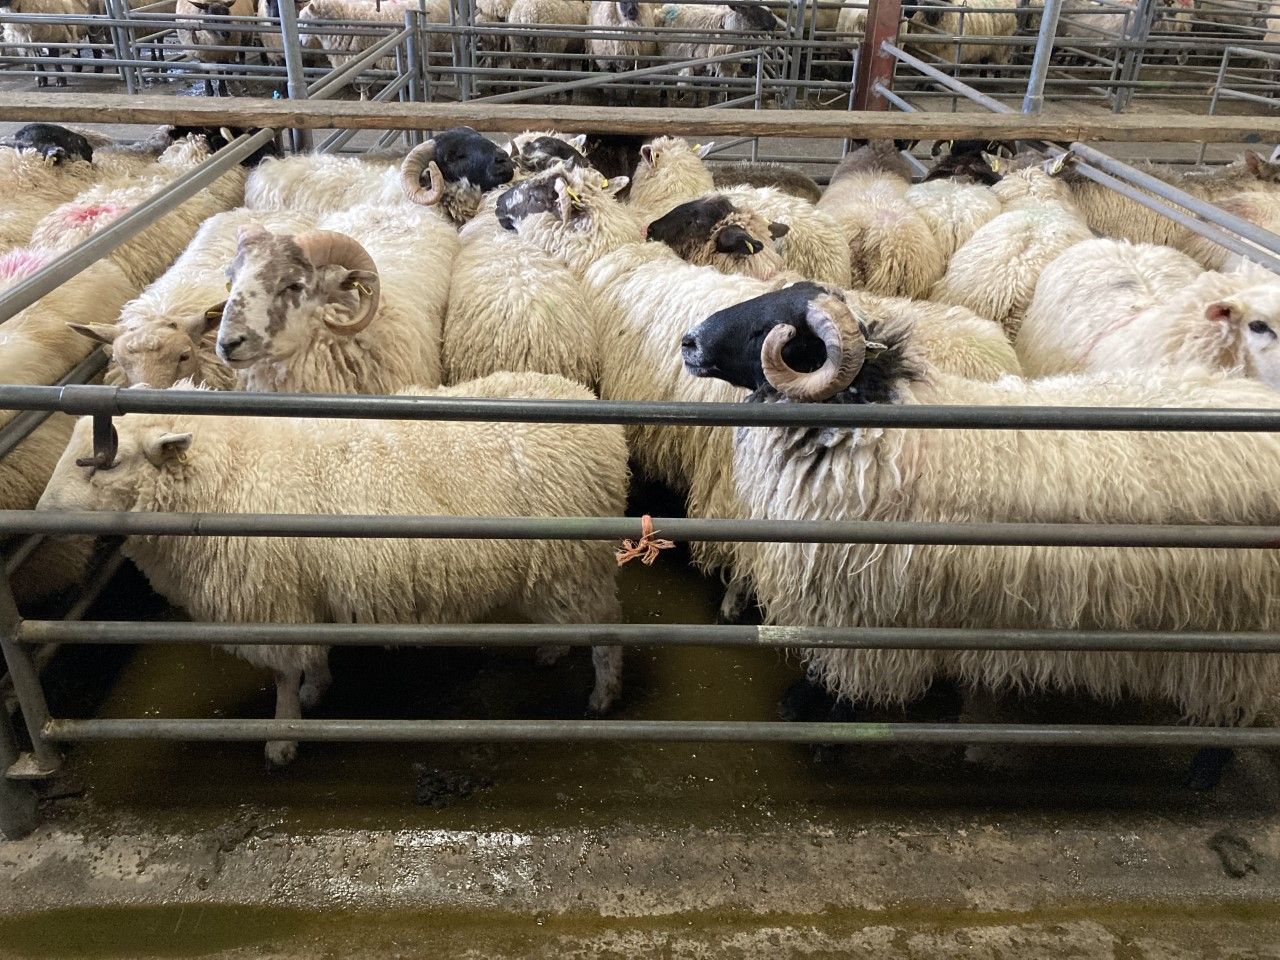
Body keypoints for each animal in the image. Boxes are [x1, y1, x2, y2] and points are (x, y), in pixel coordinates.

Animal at [38, 371, 629, 766]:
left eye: (103, 464)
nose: (38, 520)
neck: (229, 470)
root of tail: (595, 413)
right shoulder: (300, 596)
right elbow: (311, 655)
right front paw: (316, 689)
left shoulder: (269, 601)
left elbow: (282, 675)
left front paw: (282, 738)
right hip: (556, 569)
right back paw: (554, 649)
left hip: (572, 564)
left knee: (607, 627)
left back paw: (603, 696)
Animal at [679, 282, 1280, 777]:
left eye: (771, 328)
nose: (688, 342)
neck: (871, 429)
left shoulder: (873, 612)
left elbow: (853, 681)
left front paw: (826, 728)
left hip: (1239, 643)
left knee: (1235, 712)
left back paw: (1205, 772)